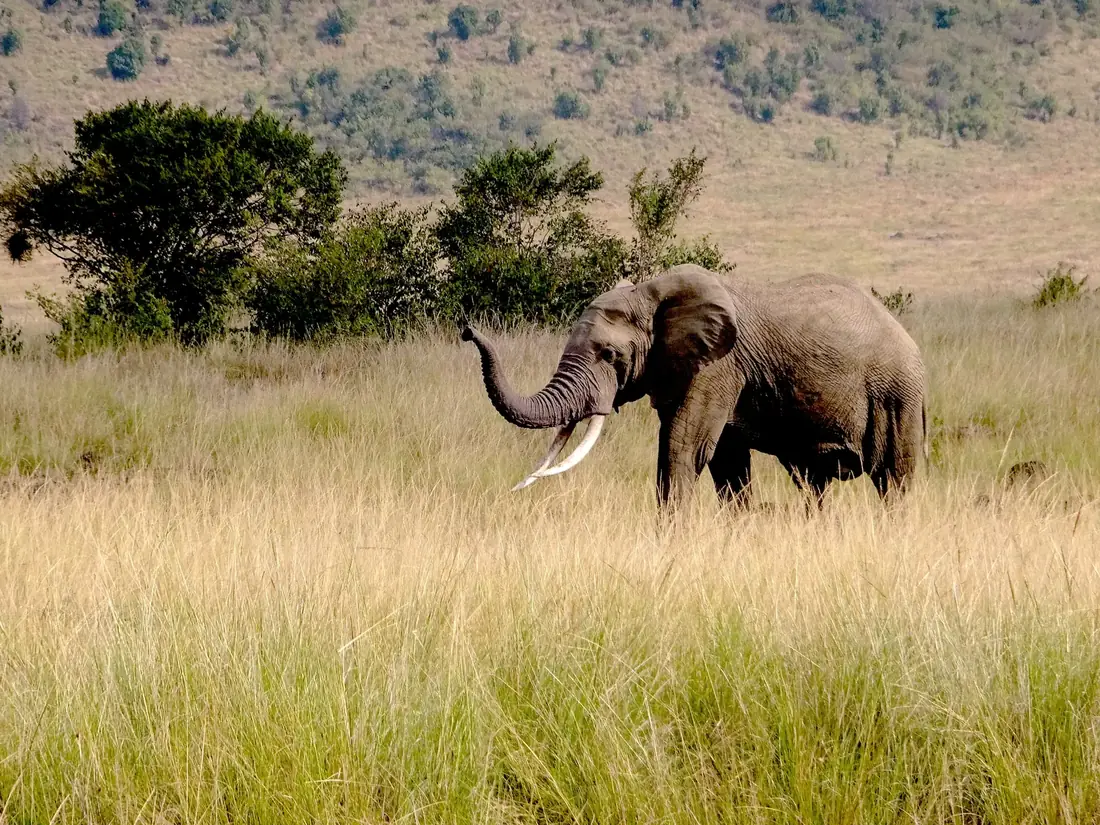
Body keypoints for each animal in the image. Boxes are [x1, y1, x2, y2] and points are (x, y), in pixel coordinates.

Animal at [461, 264, 928, 510]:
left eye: (609, 355)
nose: (467, 330)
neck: (650, 292)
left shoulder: (717, 367)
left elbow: (685, 447)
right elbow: (726, 462)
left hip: (896, 396)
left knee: (892, 479)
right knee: (813, 484)